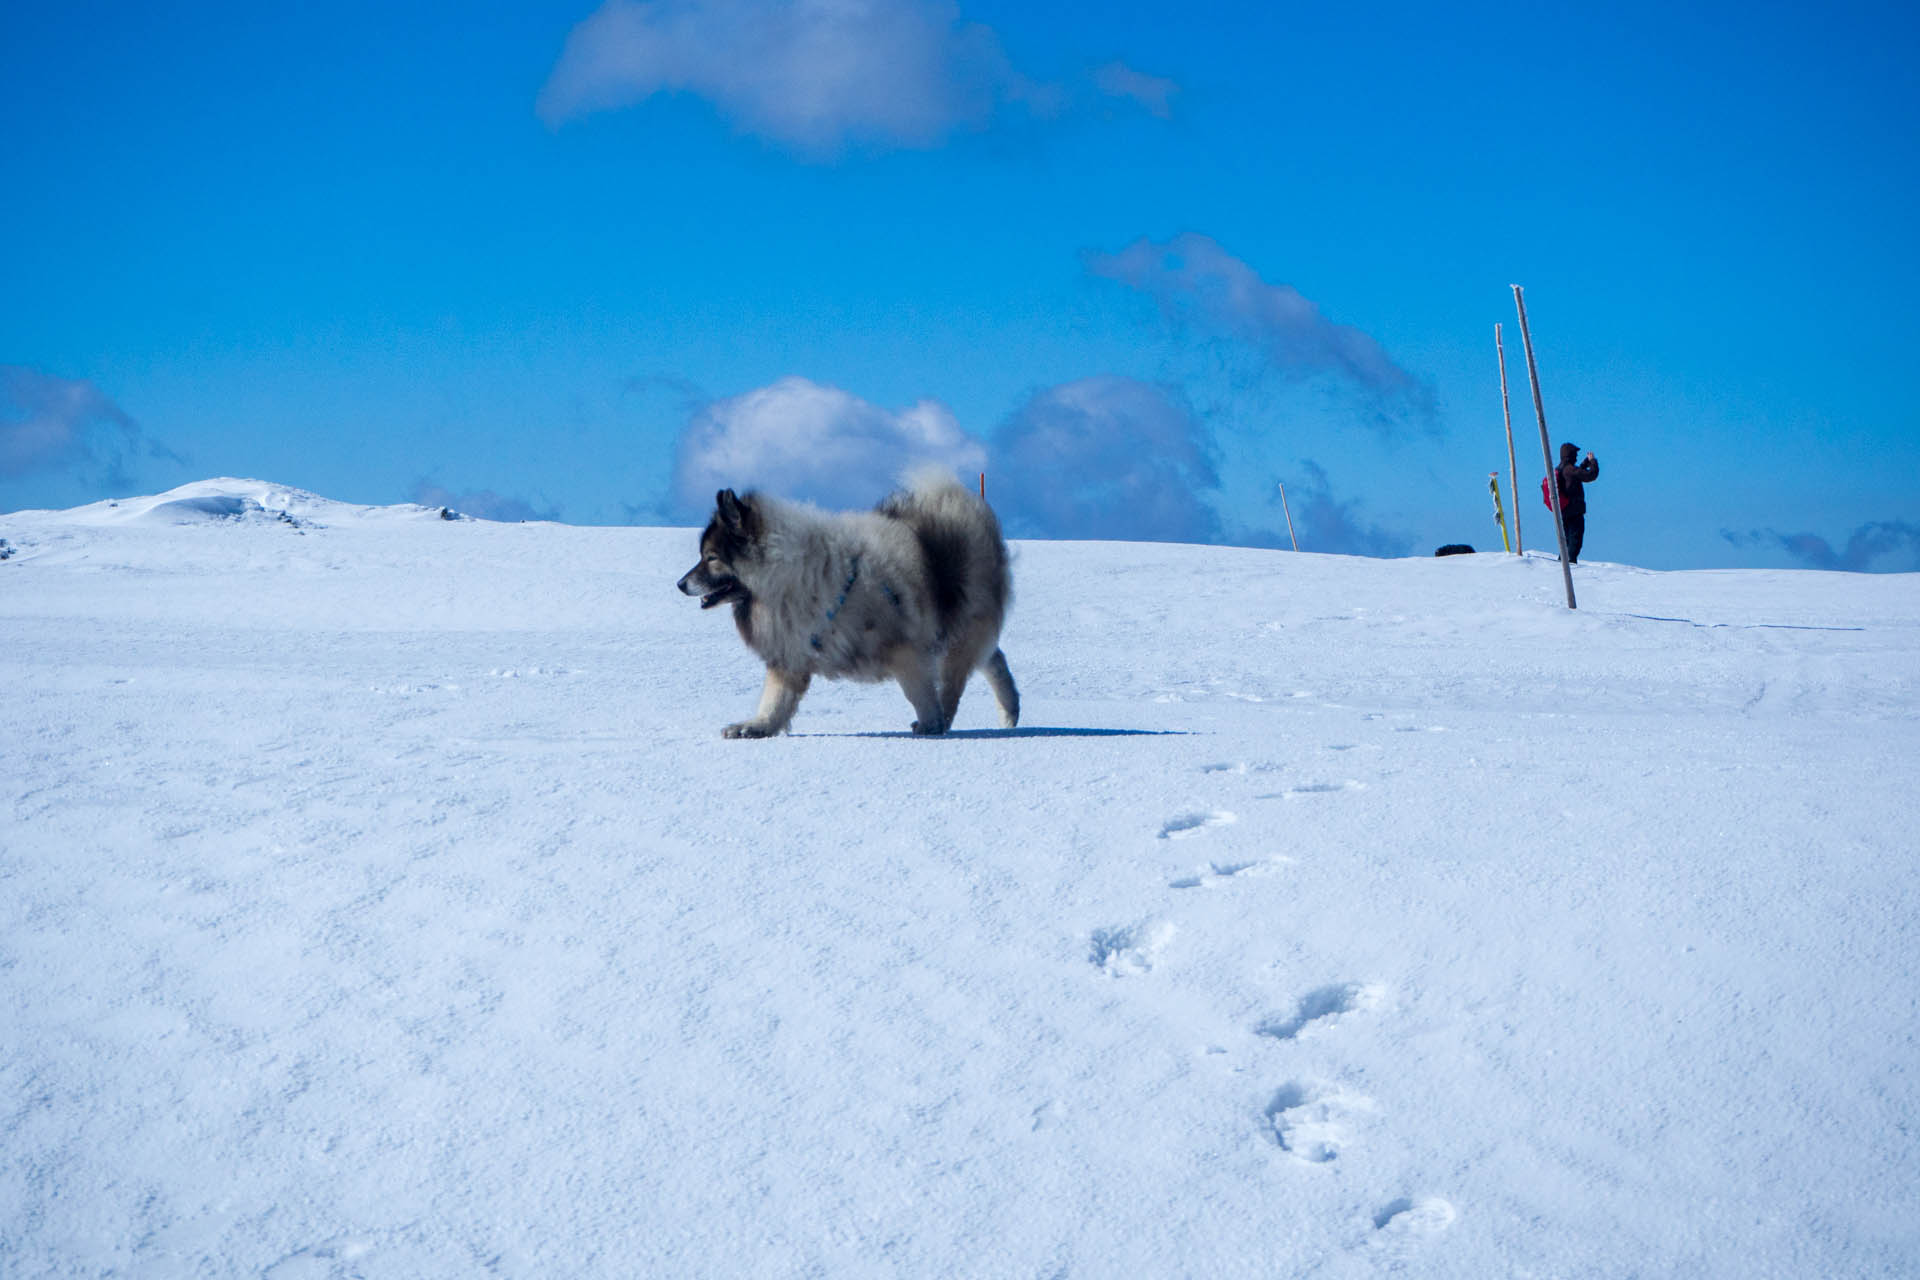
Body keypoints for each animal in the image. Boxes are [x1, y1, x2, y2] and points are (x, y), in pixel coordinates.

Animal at [683, 470, 1029, 736]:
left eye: (711, 558)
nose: (680, 584)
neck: (793, 573)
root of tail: (961, 507)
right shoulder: (791, 652)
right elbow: (775, 700)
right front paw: (756, 727)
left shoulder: (906, 651)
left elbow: (919, 692)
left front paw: (931, 724)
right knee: (993, 659)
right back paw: (1009, 711)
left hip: (959, 629)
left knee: (956, 682)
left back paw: (951, 718)